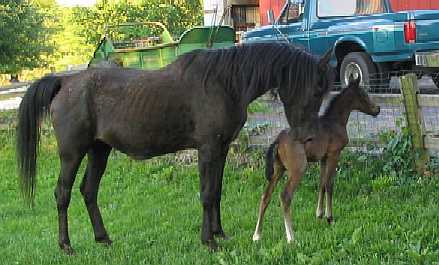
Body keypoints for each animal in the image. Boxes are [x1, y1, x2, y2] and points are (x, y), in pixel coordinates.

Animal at [15, 42, 336, 253]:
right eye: (316, 90)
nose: (306, 138)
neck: (225, 83)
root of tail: (65, 81)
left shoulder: (221, 149)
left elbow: (217, 192)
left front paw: (219, 233)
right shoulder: (207, 149)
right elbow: (206, 194)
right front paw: (208, 241)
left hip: (99, 151)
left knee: (89, 191)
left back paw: (103, 238)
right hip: (72, 154)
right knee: (63, 194)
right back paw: (66, 245)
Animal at [253, 75, 380, 242]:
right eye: (363, 94)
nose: (377, 109)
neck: (334, 122)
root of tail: (279, 140)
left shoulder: (323, 158)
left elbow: (322, 184)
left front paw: (319, 214)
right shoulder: (334, 154)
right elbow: (330, 184)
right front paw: (329, 218)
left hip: (279, 169)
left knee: (265, 195)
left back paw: (257, 235)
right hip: (298, 169)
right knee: (285, 196)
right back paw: (291, 237)